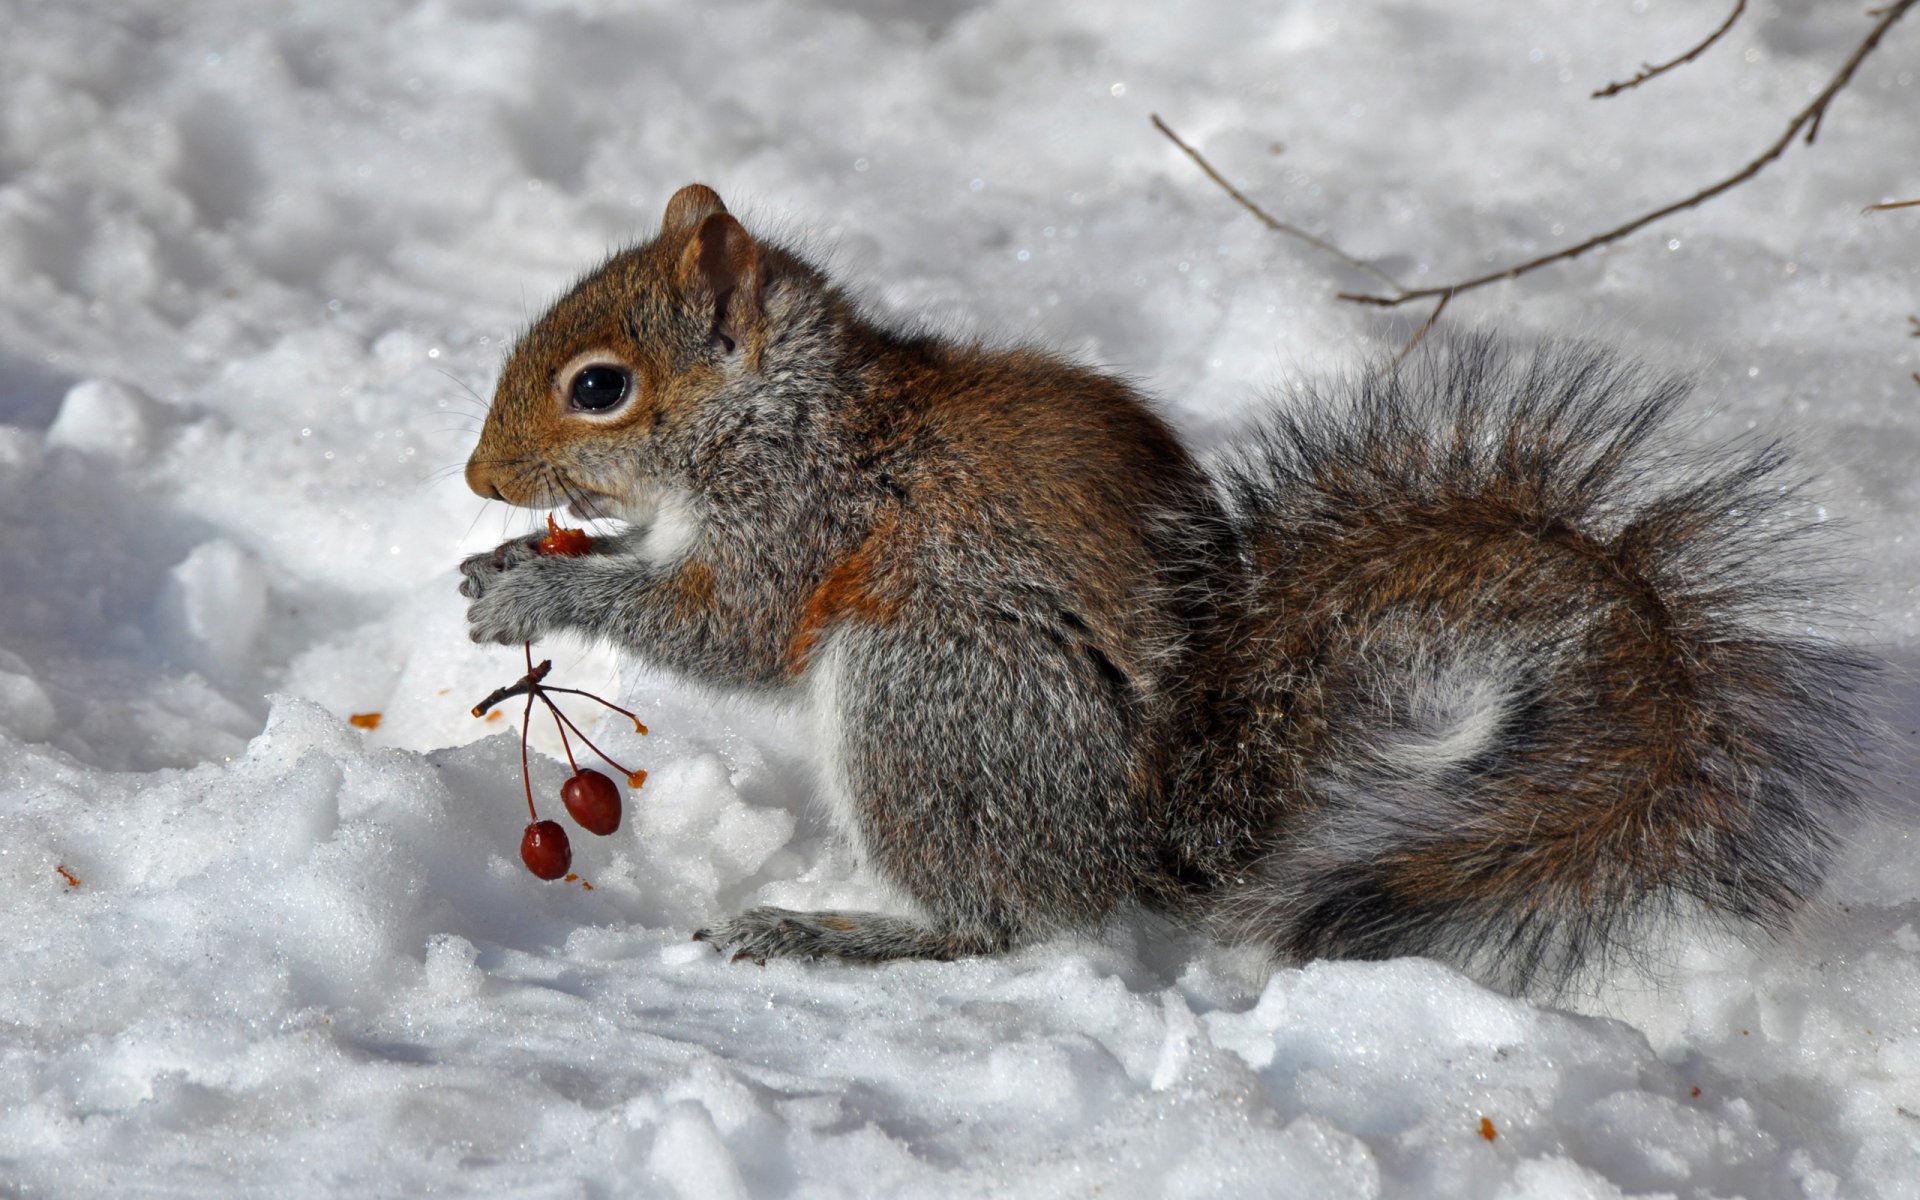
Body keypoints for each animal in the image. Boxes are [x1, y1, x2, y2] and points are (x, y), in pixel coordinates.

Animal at [459, 183, 1875, 993]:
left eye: (600, 387)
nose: (478, 477)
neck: (781, 411)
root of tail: (1139, 842)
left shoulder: (802, 520)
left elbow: (730, 629)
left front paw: (538, 599)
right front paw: (505, 567)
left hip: (930, 690)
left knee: (1005, 921)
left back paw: (839, 933)